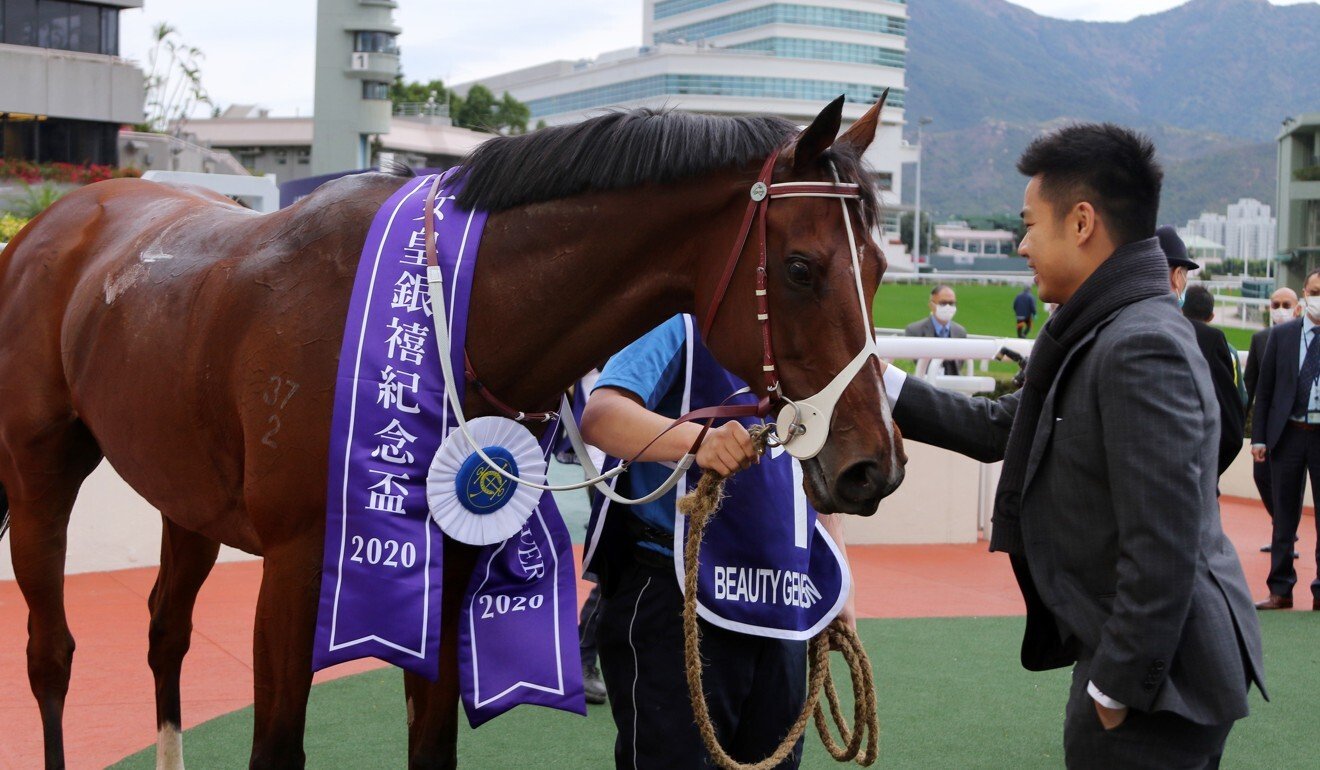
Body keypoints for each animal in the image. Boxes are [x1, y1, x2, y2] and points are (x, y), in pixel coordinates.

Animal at [0, 97, 902, 770]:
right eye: (801, 270)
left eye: (882, 268)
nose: (875, 468)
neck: (449, 312)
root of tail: (55, 221)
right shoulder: (294, 569)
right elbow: (276, 749)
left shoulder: (456, 558)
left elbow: (432, 747)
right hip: (39, 471)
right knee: (51, 655)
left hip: (185, 493)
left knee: (164, 631)